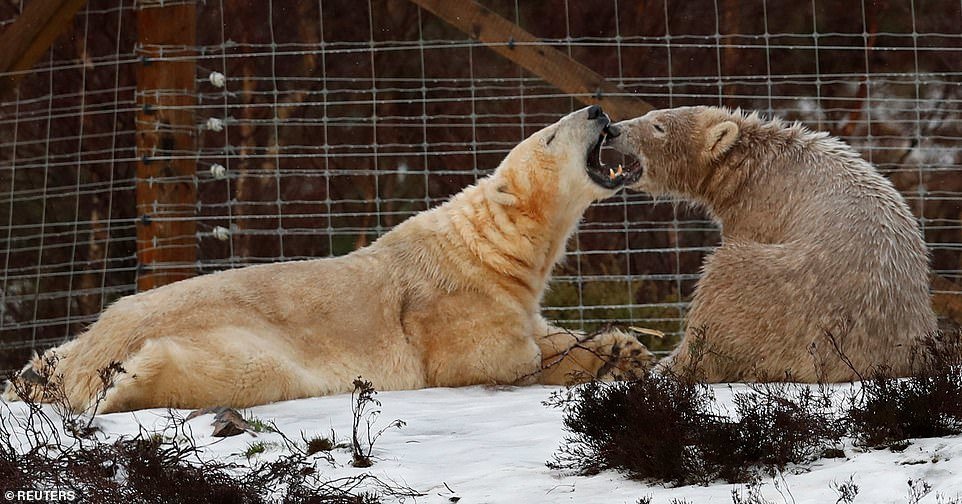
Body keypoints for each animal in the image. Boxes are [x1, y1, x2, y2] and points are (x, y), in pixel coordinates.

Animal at [3, 104, 648, 412]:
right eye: (551, 135)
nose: (596, 111)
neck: (487, 246)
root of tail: (94, 353)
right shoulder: (446, 306)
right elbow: (496, 356)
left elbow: (547, 329)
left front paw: (626, 348)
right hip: (237, 342)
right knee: (239, 370)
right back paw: (126, 384)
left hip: (80, 340)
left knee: (47, 356)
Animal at [608, 106, 928, 382]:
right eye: (651, 114)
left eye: (658, 126)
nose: (612, 129)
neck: (751, 164)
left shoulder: (759, 208)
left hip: (784, 299)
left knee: (721, 282)